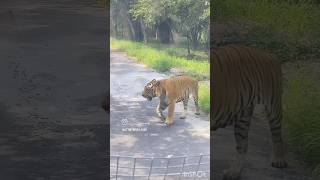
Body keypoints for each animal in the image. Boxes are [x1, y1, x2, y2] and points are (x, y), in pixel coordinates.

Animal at [211, 44, 288, 179]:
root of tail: (269, 54)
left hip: (273, 105)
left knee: (277, 135)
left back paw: (279, 160)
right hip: (243, 115)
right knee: (243, 145)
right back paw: (234, 173)